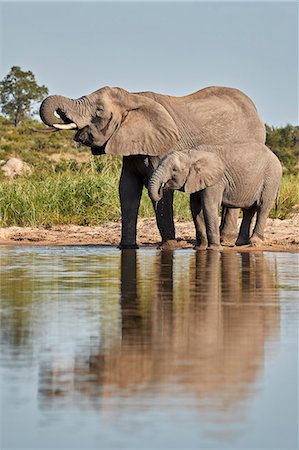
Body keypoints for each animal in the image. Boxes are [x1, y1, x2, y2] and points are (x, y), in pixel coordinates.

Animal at [39, 85, 268, 248]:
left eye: (99, 110)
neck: (133, 97)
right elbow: (127, 189)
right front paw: (127, 247)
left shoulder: (164, 146)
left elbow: (160, 191)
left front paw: (168, 246)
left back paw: (226, 240)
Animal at [150, 143, 284, 250]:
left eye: (174, 170)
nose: (162, 188)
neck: (192, 154)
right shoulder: (196, 180)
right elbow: (195, 208)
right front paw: (199, 249)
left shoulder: (216, 181)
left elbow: (209, 206)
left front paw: (214, 249)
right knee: (249, 210)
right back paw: (241, 243)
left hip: (271, 179)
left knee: (262, 207)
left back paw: (255, 242)